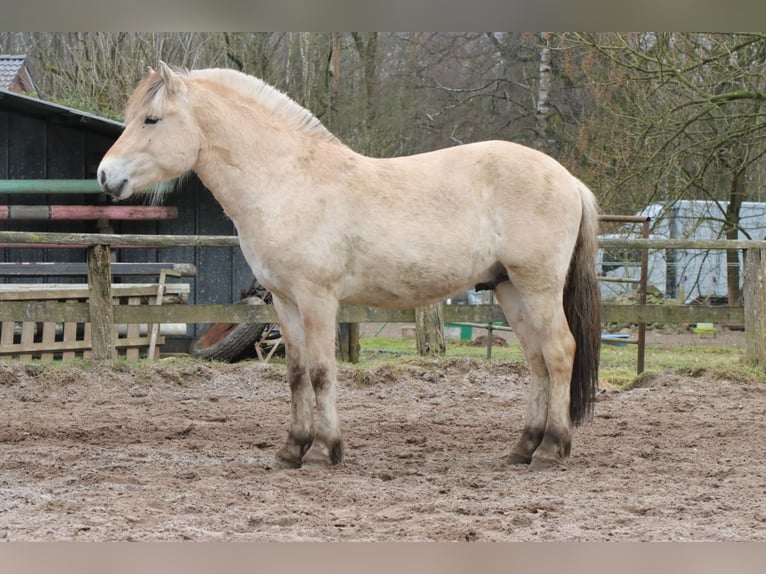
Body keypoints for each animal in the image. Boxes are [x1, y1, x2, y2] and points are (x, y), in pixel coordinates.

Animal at [97, 60, 600, 470]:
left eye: (152, 119)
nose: (105, 175)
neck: (287, 181)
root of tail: (568, 179)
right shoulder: (284, 301)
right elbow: (296, 372)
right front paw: (292, 449)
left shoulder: (317, 298)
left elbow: (322, 370)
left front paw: (323, 452)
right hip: (509, 288)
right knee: (537, 361)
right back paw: (523, 447)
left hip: (538, 287)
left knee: (559, 352)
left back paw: (552, 448)